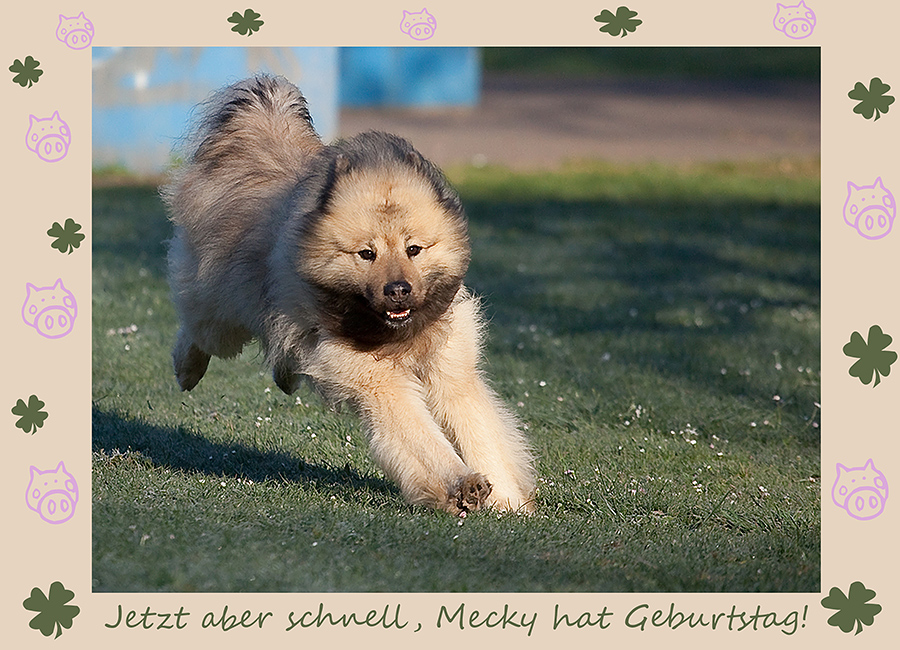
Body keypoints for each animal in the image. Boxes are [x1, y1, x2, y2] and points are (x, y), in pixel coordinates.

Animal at [163, 74, 536, 512]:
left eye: (414, 249)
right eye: (367, 254)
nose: (398, 290)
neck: (396, 335)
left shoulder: (451, 373)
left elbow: (483, 436)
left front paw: (510, 503)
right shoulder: (380, 382)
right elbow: (423, 439)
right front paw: (459, 483)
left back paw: (285, 374)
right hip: (222, 311)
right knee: (197, 330)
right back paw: (187, 369)